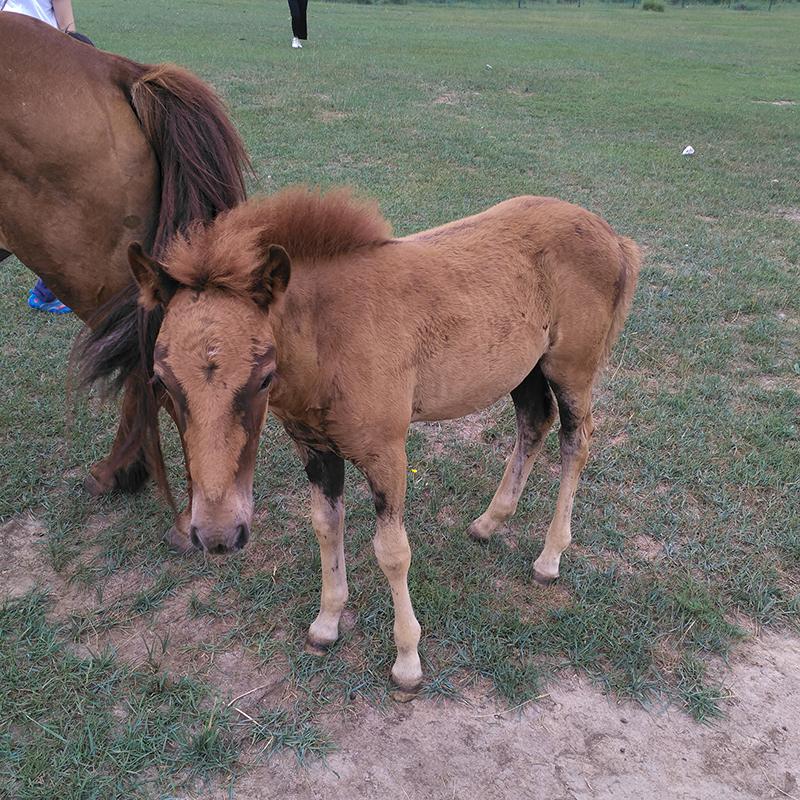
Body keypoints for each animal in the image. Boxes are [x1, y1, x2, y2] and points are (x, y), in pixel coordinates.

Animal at [111, 186, 636, 692]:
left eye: (263, 377)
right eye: (161, 380)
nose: (218, 535)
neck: (328, 340)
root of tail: (612, 237)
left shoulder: (387, 453)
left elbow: (392, 552)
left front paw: (407, 661)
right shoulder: (316, 448)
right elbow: (327, 526)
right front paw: (326, 623)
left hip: (571, 369)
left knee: (576, 442)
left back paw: (549, 558)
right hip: (524, 369)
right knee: (534, 422)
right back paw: (489, 522)